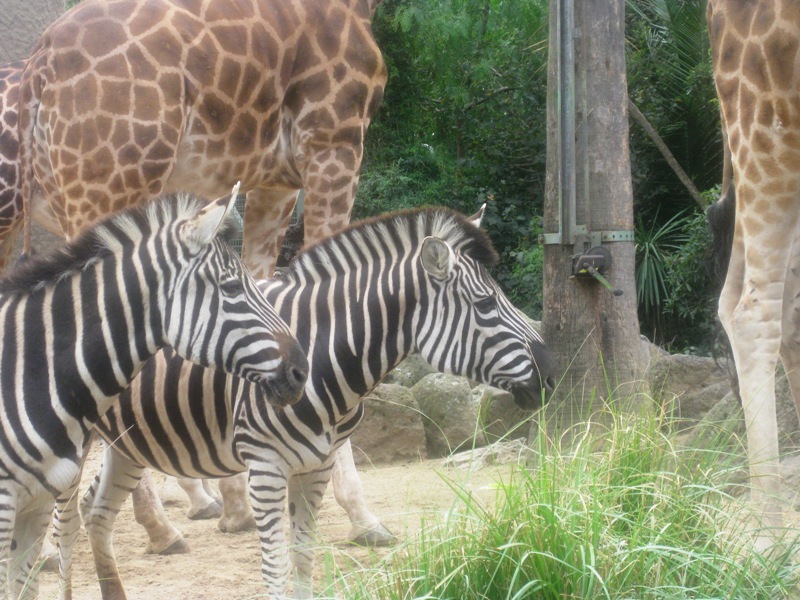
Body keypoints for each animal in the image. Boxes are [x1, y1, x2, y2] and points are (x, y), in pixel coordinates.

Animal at [54, 205, 556, 596]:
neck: (321, 353)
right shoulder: (266, 466)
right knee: (62, 525)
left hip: (127, 441)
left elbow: (304, 558)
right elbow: (276, 567)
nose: (552, 374)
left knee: (95, 513)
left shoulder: (316, 464)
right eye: (486, 305)